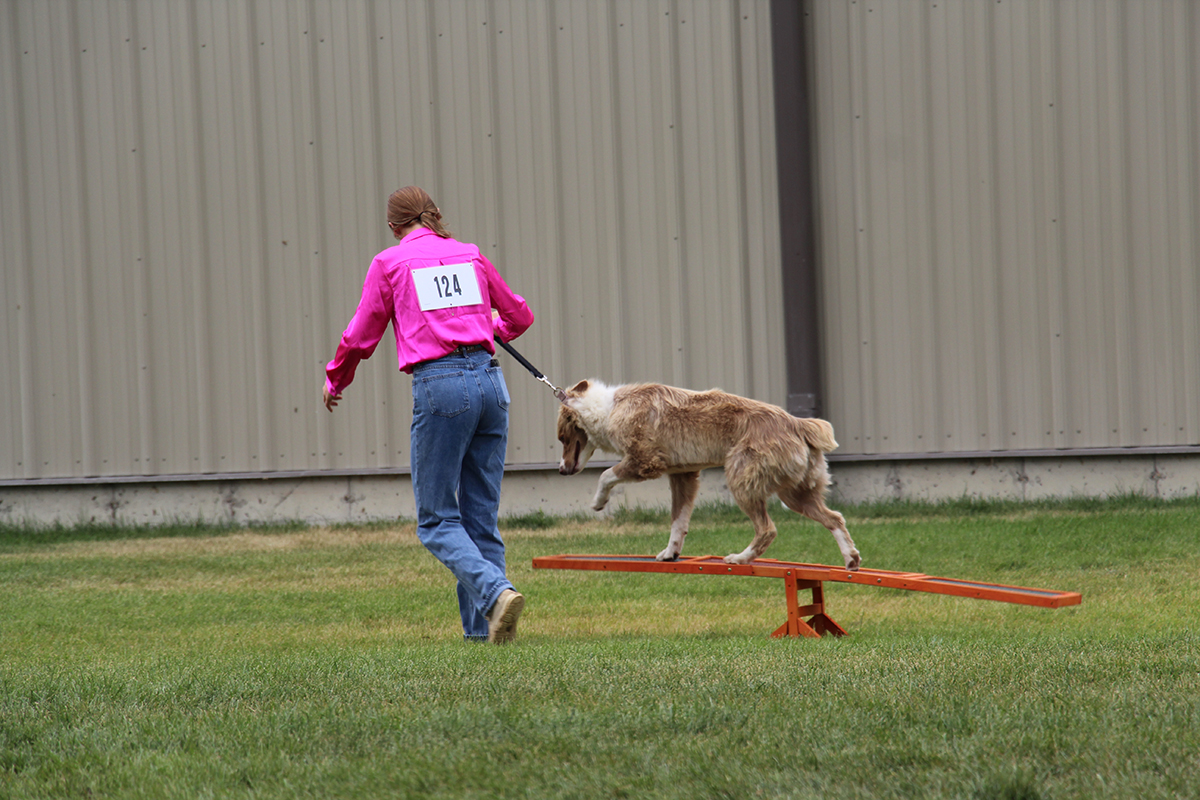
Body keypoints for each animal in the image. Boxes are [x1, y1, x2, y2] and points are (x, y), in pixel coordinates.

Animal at [556, 381, 859, 568]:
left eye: (562, 437)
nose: (560, 470)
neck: (609, 408)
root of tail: (798, 423)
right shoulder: (684, 475)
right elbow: (678, 520)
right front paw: (671, 553)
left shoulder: (645, 461)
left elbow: (606, 475)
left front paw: (598, 502)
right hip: (795, 493)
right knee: (834, 518)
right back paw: (851, 559)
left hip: (741, 479)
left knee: (767, 529)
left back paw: (739, 559)